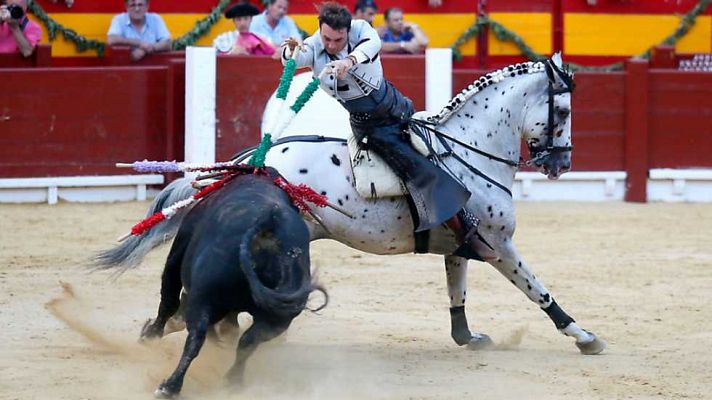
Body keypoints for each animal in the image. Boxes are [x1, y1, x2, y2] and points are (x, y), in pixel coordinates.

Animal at [96, 54, 608, 356]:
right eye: (563, 111)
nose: (562, 163)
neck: (468, 147)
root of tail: (250, 163)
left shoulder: (459, 243)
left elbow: (456, 291)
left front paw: (468, 337)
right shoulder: (498, 243)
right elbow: (537, 289)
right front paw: (584, 336)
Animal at [140, 170, 328, 398]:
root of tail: (268, 224)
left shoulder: (177, 254)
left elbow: (168, 301)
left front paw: (150, 334)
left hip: (204, 295)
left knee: (195, 336)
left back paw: (169, 386)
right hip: (278, 319)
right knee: (247, 342)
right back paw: (233, 380)